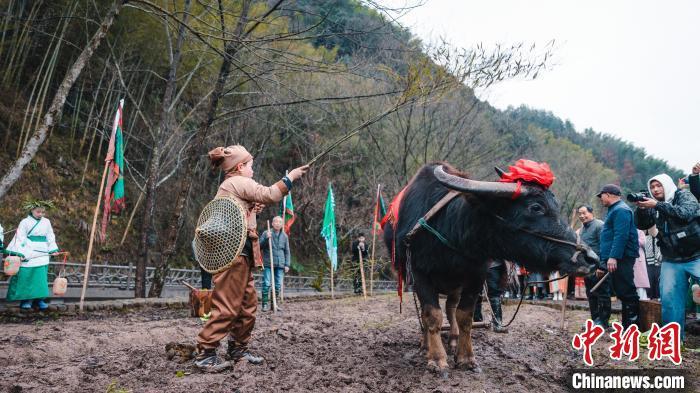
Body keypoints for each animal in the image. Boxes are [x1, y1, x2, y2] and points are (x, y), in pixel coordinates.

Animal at [386, 161, 600, 372]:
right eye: (536, 207)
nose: (591, 258)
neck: (452, 233)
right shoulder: (419, 274)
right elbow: (432, 315)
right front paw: (437, 359)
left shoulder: (476, 275)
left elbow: (465, 316)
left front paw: (465, 357)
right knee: (428, 313)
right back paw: (425, 345)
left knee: (451, 307)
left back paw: (453, 340)